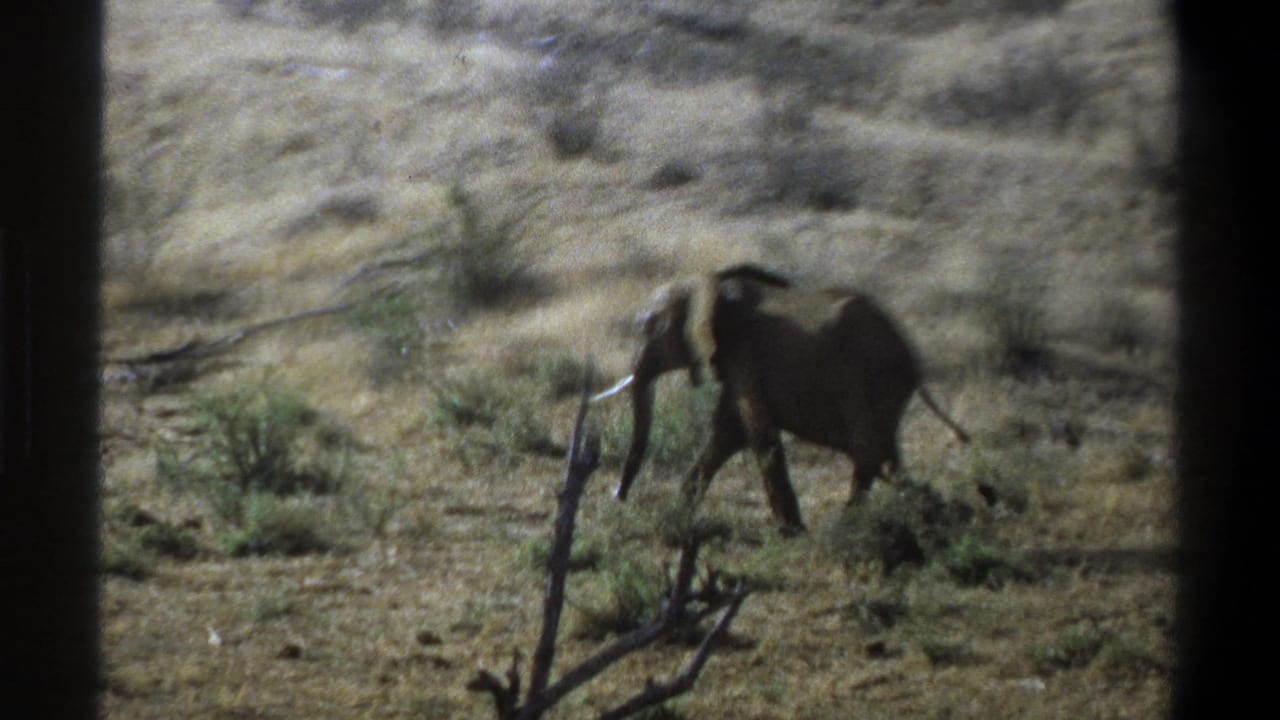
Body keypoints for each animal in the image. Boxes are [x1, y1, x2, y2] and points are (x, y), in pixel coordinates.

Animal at [595, 263, 970, 536]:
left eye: (648, 327)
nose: (618, 497)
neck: (710, 285)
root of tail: (911, 357)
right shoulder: (735, 361)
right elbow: (727, 432)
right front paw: (680, 509)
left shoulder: (746, 355)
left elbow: (756, 433)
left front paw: (790, 532)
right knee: (887, 455)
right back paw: (923, 512)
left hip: (867, 379)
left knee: (869, 452)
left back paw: (850, 526)